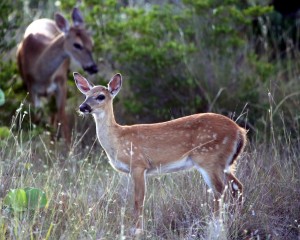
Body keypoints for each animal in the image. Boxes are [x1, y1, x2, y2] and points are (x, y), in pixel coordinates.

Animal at [17, 7, 98, 142]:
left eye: (91, 43)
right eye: (77, 44)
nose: (93, 68)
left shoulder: (61, 83)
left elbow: (62, 116)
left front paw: (67, 146)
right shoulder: (31, 88)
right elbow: (37, 118)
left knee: (54, 113)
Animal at [73, 72, 246, 234]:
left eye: (100, 96)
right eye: (86, 95)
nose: (82, 107)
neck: (117, 139)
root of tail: (240, 132)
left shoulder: (138, 164)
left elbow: (138, 200)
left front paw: (137, 231)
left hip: (209, 159)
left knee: (219, 190)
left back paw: (216, 227)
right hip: (225, 163)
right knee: (237, 186)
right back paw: (236, 221)